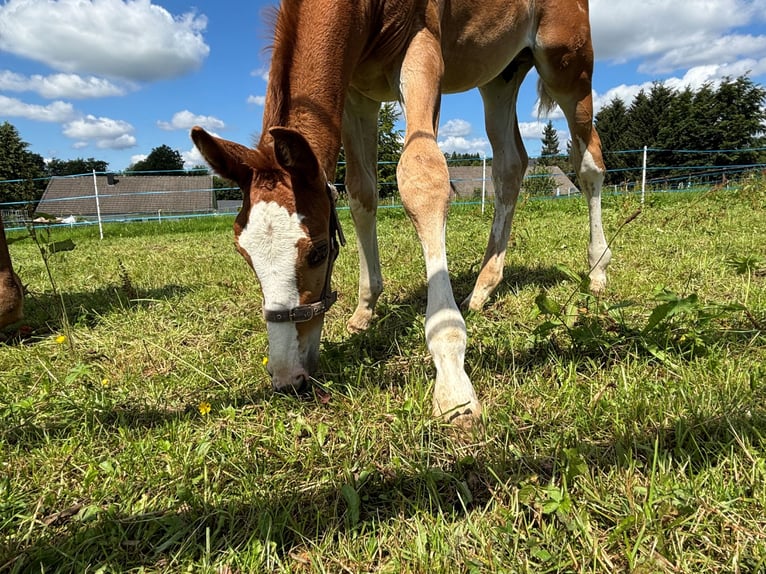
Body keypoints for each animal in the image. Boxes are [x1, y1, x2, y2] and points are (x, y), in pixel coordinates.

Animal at [192, 0, 612, 428]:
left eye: (319, 252)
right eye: (244, 256)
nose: (286, 377)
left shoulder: (422, 51)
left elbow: (421, 175)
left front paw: (453, 381)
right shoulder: (357, 95)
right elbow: (361, 193)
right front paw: (365, 310)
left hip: (567, 63)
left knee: (588, 161)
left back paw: (597, 270)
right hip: (500, 77)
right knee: (510, 166)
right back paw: (483, 287)